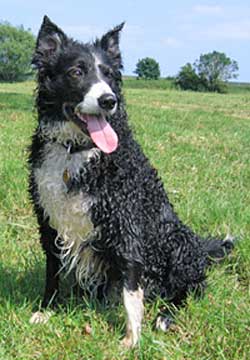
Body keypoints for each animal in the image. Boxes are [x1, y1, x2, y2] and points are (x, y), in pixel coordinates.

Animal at [29, 15, 234, 348]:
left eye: (110, 75)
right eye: (77, 72)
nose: (108, 100)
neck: (78, 150)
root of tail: (200, 247)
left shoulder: (126, 224)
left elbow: (130, 290)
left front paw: (131, 338)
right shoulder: (49, 220)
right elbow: (53, 273)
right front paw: (46, 310)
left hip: (176, 241)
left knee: (191, 288)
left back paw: (165, 316)